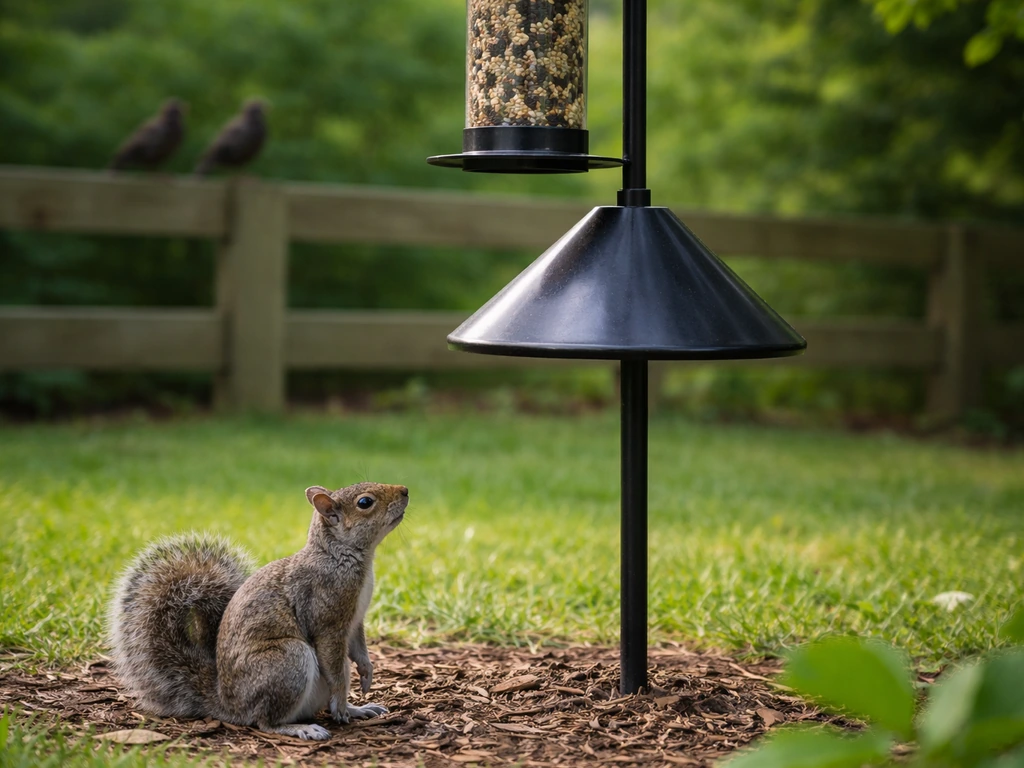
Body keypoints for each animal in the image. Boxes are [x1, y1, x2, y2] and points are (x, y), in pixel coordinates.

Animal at [108, 482, 409, 741]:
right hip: (287, 661)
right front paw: (343, 705)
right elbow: (336, 671)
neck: (343, 557)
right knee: (265, 721)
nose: (405, 490)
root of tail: (228, 703)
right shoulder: (328, 618)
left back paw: (360, 709)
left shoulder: (355, 621)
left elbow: (359, 649)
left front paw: (366, 677)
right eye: (365, 502)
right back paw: (303, 728)